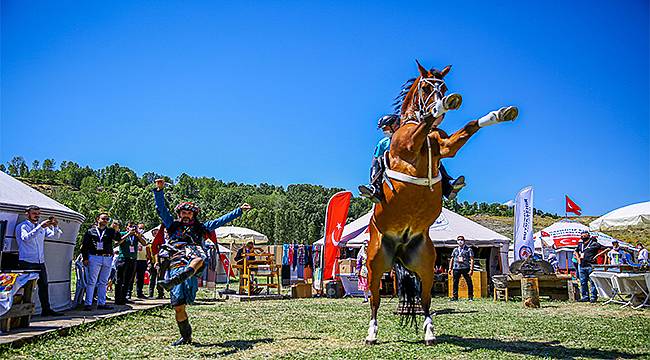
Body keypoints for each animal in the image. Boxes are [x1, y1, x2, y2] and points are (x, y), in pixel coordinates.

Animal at [364, 60, 516, 344]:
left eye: (443, 86)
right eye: (426, 87)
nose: (445, 96)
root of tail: (399, 249)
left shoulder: (445, 146)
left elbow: (469, 127)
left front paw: (500, 114)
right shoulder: (410, 144)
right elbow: (425, 125)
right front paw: (442, 107)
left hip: (424, 266)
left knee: (425, 302)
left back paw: (429, 333)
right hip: (375, 264)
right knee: (375, 302)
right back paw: (371, 334)